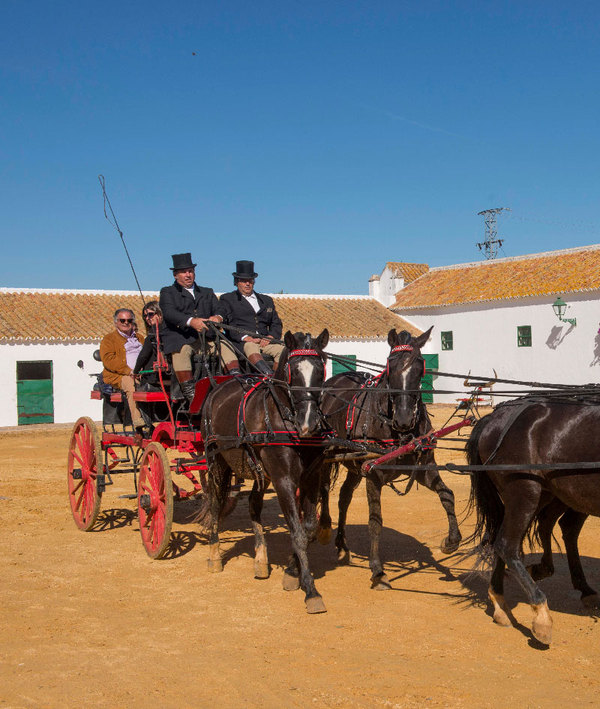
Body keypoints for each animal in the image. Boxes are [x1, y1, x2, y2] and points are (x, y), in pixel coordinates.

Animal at [202, 330, 332, 612]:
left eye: (321, 370)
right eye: (292, 371)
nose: (309, 423)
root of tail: (218, 387)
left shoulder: (311, 478)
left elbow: (307, 528)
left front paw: (292, 573)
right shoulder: (283, 480)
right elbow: (296, 532)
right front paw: (311, 590)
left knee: (253, 503)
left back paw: (260, 560)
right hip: (216, 460)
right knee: (215, 502)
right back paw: (214, 556)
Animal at [322, 330, 462, 588]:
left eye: (420, 366)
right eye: (390, 364)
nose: (404, 418)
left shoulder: (424, 468)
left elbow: (447, 495)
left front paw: (451, 542)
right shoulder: (373, 474)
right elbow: (375, 521)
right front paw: (377, 570)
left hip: (355, 467)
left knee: (344, 498)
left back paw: (342, 545)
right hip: (327, 456)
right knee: (323, 490)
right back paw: (321, 529)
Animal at [466, 390, 600, 644]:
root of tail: (496, 417)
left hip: (553, 493)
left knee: (546, 529)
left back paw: (501, 603)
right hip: (525, 491)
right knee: (507, 544)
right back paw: (541, 616)